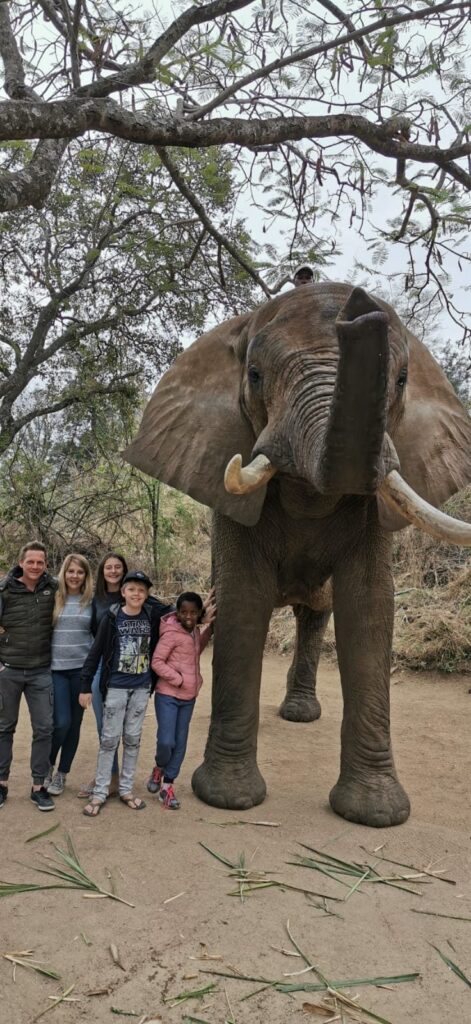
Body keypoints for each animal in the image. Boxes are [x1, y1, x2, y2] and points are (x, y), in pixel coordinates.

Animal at [125, 282, 471, 827]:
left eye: (400, 380)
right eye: (254, 375)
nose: (358, 306)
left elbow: (369, 608)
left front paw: (375, 814)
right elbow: (243, 599)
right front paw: (227, 798)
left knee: (315, 615)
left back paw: (300, 714)